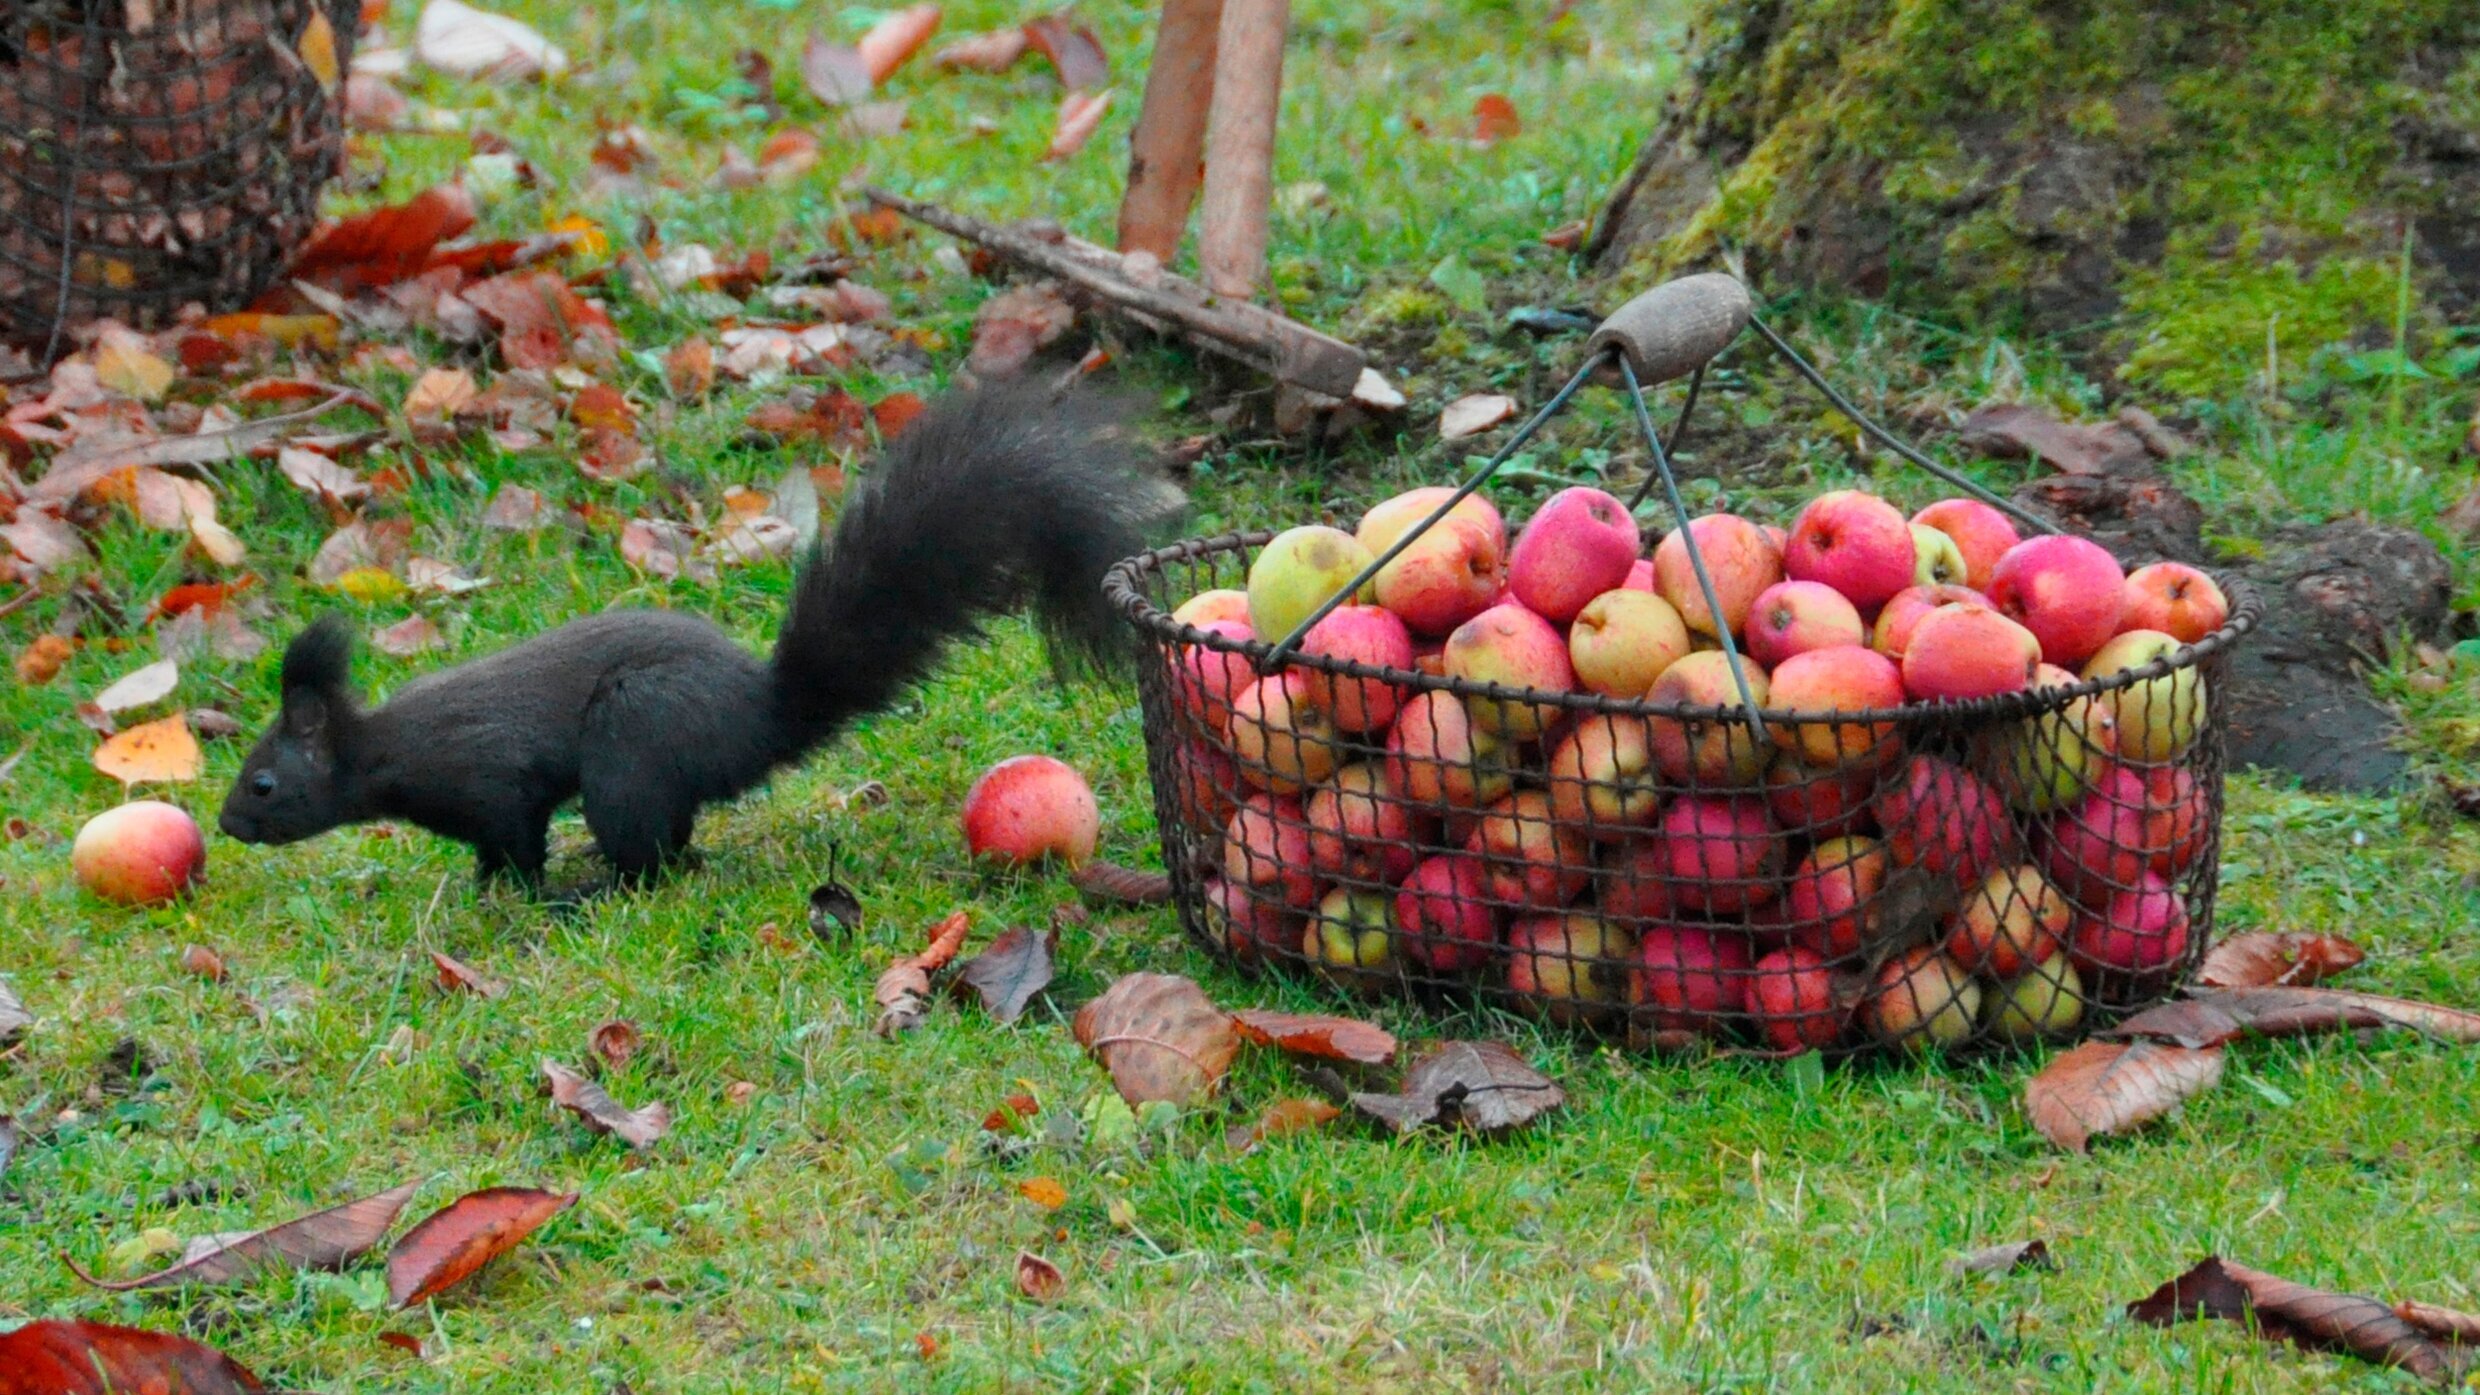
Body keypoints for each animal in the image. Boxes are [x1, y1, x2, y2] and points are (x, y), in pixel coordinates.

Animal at [215, 382, 1180, 878]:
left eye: (263, 782)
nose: (226, 824)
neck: (382, 749)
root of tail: (761, 719)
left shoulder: (488, 774)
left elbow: (517, 832)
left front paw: (519, 891)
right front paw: (484, 883)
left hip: (631, 741)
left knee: (652, 851)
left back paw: (603, 888)